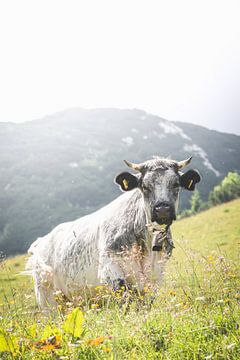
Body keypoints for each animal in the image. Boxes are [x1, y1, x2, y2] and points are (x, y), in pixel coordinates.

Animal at [25, 156, 201, 308]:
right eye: (144, 186)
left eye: (176, 184)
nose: (162, 209)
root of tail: (40, 242)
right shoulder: (109, 268)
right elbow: (125, 298)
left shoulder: (156, 274)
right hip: (48, 299)